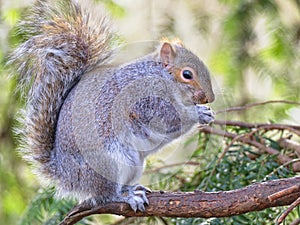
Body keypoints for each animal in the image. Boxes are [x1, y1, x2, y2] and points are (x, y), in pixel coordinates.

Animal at [9, 0, 216, 212]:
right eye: (187, 74)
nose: (210, 98)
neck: (160, 75)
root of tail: (68, 176)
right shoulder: (146, 98)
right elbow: (170, 119)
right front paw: (198, 114)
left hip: (134, 164)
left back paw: (133, 189)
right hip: (108, 164)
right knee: (107, 195)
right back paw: (127, 197)